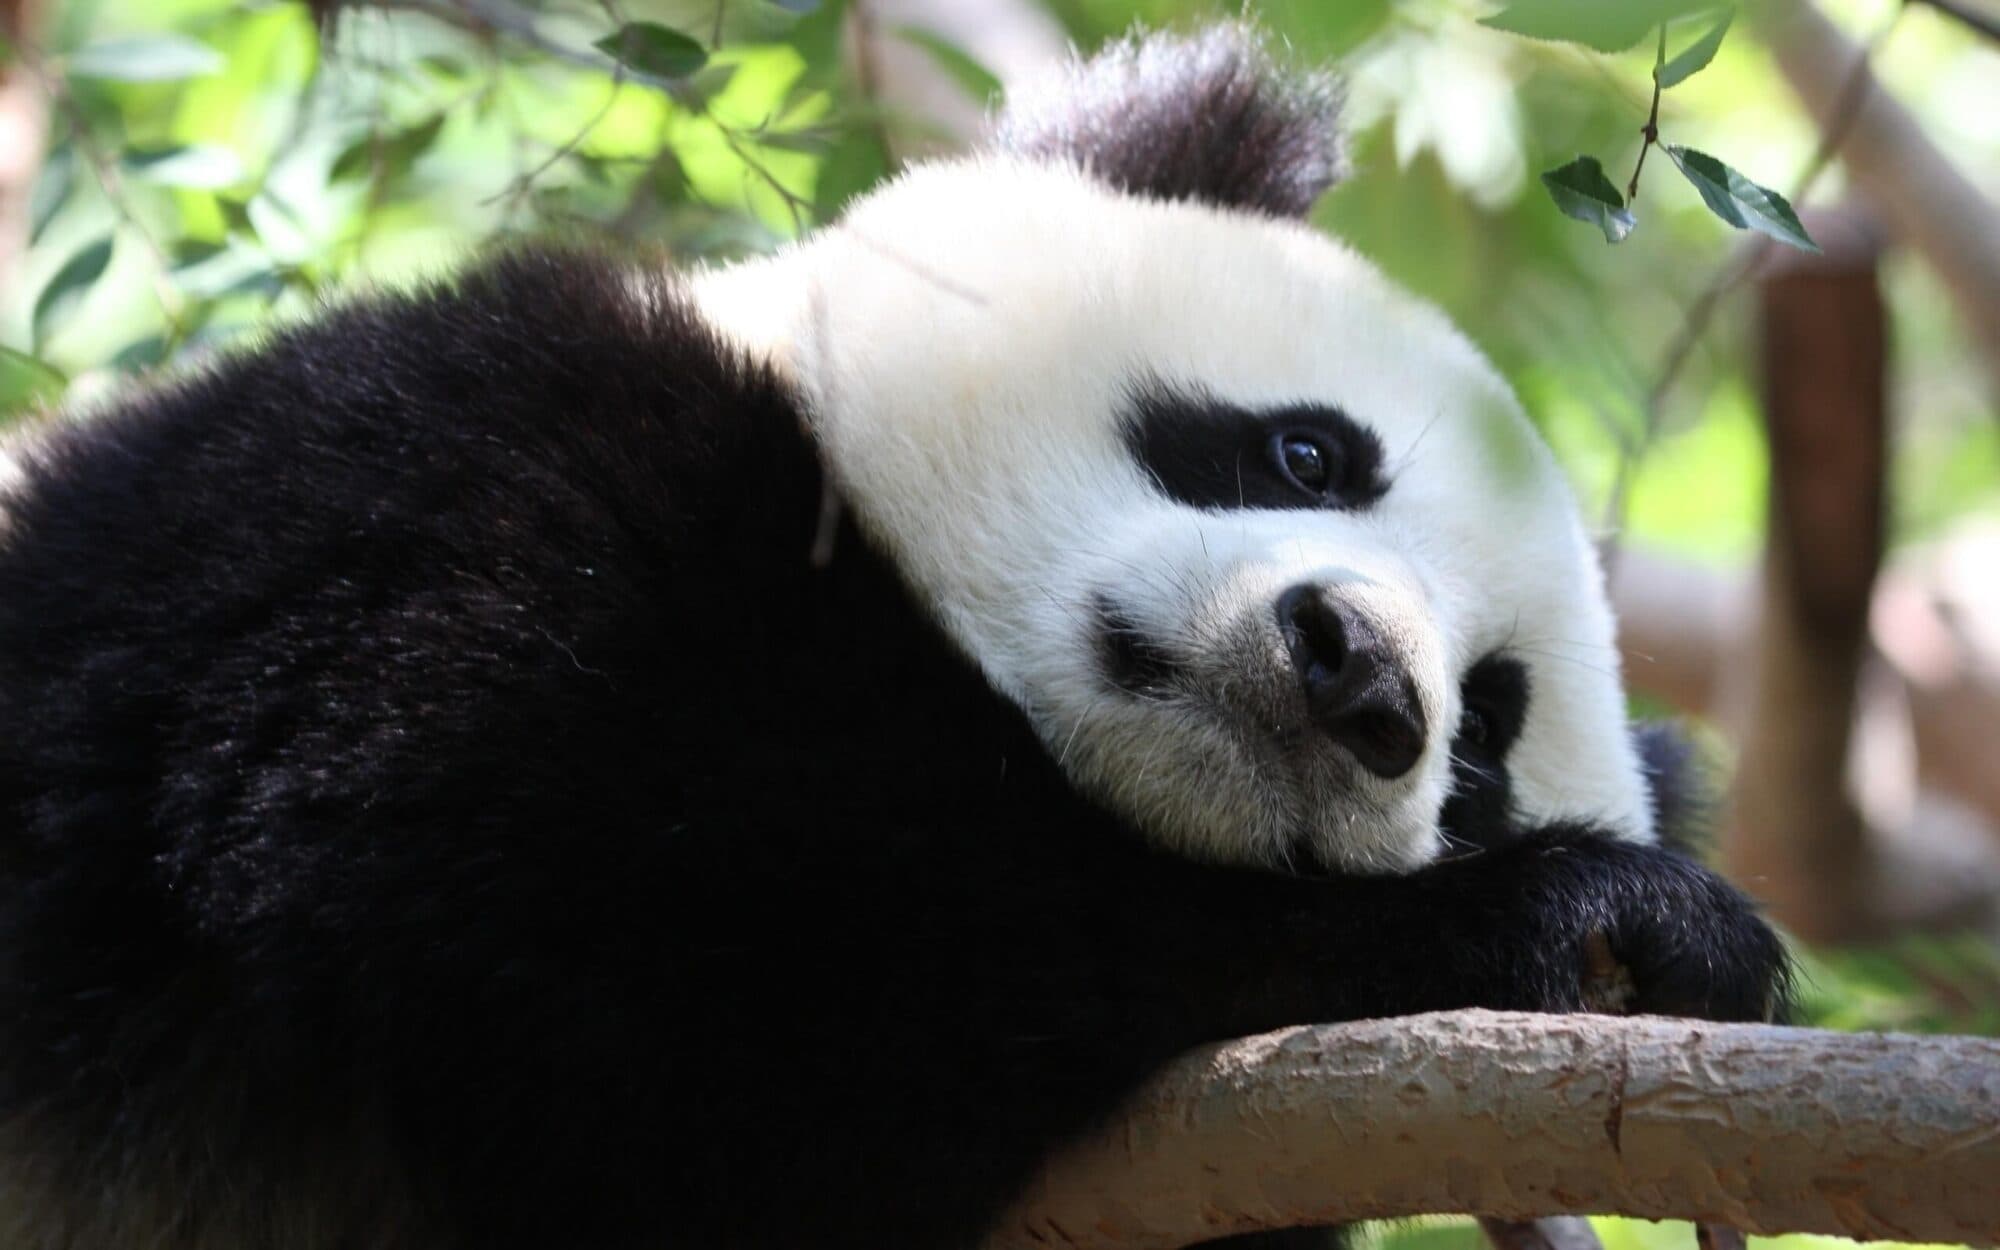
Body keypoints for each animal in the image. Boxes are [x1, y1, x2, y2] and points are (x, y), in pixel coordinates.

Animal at [0, 24, 1786, 1250]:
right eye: (1305, 453)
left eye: (1480, 742)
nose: (1357, 673)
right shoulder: (427, 492)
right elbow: (640, 943)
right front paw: (1591, 920)